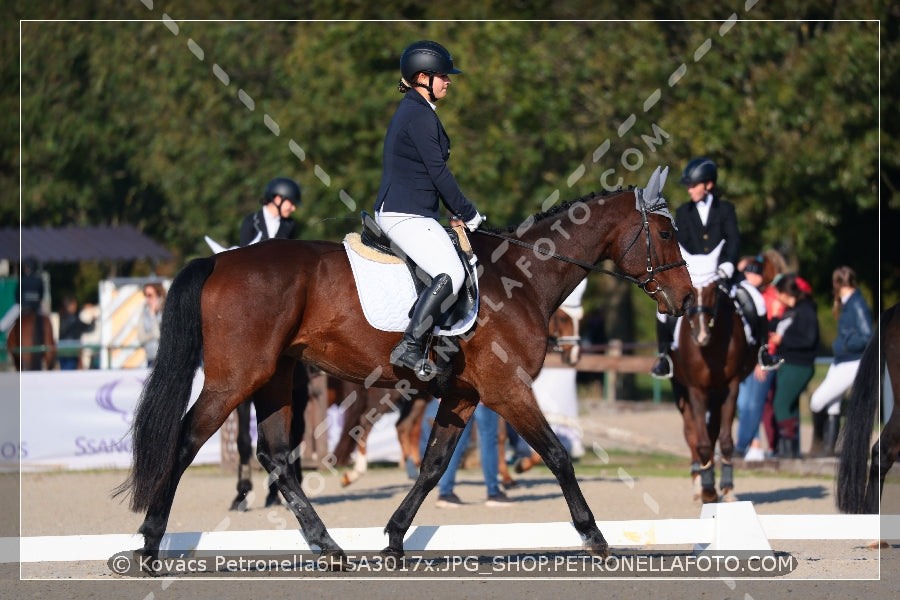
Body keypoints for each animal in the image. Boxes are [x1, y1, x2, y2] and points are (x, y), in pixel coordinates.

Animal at [116, 179, 692, 568]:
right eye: (666, 232)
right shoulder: (508, 390)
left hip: (275, 376)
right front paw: (593, 536)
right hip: (237, 377)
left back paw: (328, 547)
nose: (687, 300)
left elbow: (433, 465)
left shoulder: (463, 394)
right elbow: (557, 457)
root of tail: (222, 260)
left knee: (276, 455)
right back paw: (149, 543)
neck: (522, 276)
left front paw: (393, 539)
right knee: (188, 440)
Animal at [672, 280, 756, 502]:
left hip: (716, 395)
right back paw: (698, 484)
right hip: (682, 391)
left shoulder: (730, 387)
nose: (701, 336)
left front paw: (727, 489)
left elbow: (725, 441)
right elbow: (700, 440)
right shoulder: (695, 389)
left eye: (713, 290)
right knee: (692, 433)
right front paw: (708, 490)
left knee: (712, 431)